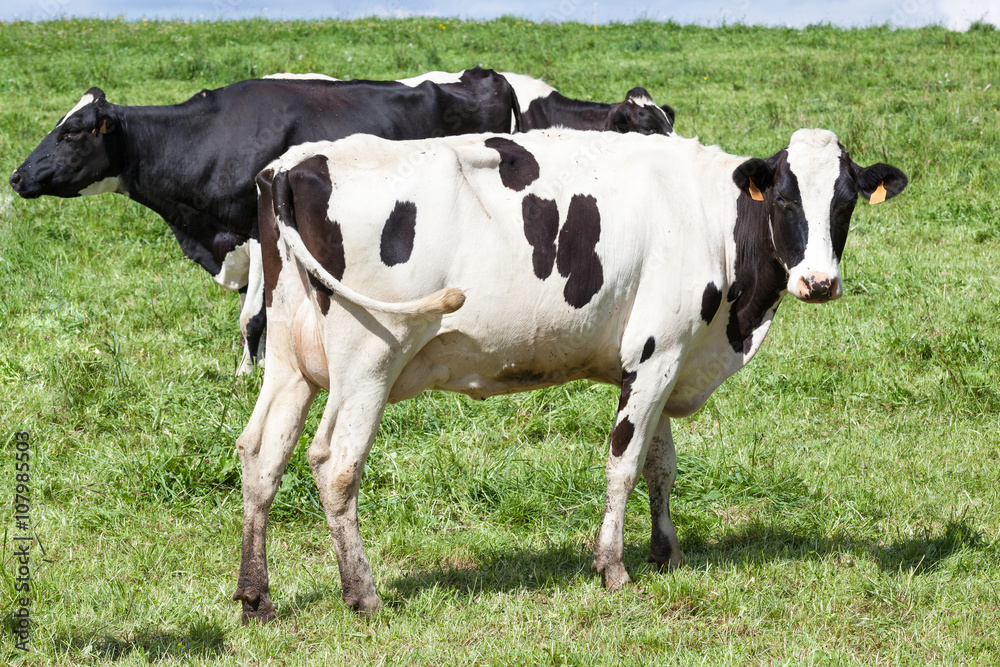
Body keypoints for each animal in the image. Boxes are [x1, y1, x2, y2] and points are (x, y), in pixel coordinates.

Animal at [9, 68, 524, 368]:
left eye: (72, 133)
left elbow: (252, 316)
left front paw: (245, 374)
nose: (16, 176)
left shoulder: (259, 229)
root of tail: (486, 74)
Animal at [232, 126, 908, 620]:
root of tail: (292, 165)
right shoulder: (657, 354)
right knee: (335, 465)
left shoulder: (666, 358)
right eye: (788, 199)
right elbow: (625, 464)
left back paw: (255, 595)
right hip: (368, 361)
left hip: (291, 363)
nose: (819, 282)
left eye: (844, 202)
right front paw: (612, 567)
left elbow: (662, 464)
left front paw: (667, 553)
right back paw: (362, 593)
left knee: (261, 455)